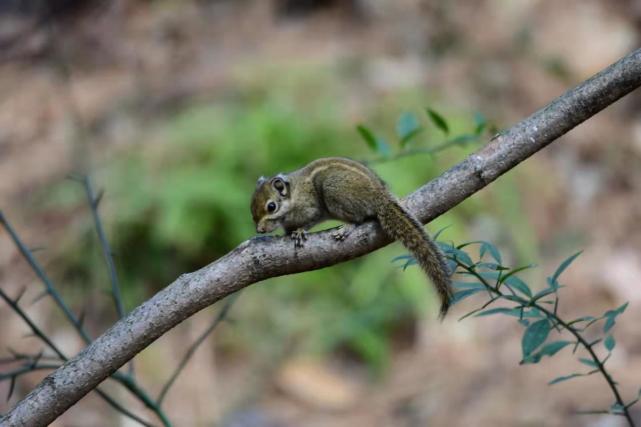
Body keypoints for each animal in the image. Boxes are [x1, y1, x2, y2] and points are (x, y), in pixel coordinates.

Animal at [248, 157, 452, 318]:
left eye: (271, 207)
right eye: (251, 209)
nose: (259, 230)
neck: (293, 195)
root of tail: (380, 197)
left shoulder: (310, 208)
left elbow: (308, 220)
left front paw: (299, 232)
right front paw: (287, 232)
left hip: (334, 191)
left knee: (359, 218)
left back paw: (347, 227)